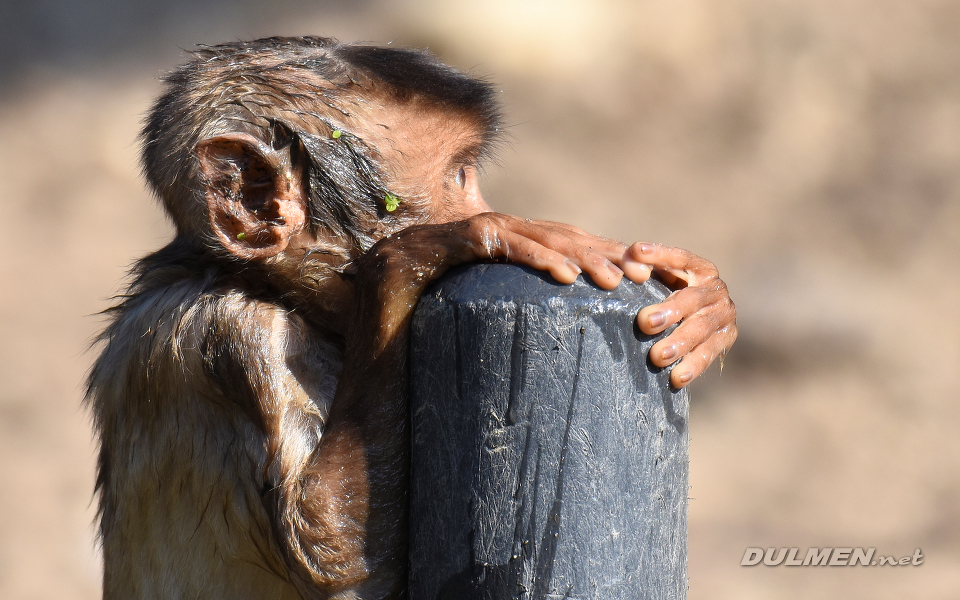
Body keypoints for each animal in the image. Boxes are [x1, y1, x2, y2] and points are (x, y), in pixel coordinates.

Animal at [86, 37, 740, 600]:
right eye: (459, 176)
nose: (483, 204)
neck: (249, 282)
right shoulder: (237, 337)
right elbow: (332, 549)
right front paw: (446, 244)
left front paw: (709, 301)